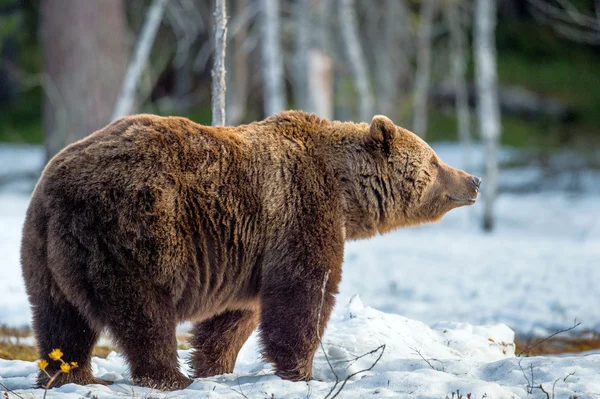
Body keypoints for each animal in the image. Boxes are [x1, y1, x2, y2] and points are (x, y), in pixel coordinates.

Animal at [21, 111, 478, 392]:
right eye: (434, 161)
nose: (473, 179)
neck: (345, 192)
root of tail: (57, 190)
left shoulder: (246, 253)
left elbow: (236, 315)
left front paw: (214, 366)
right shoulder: (302, 213)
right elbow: (304, 295)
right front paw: (303, 372)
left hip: (45, 254)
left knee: (60, 321)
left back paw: (71, 376)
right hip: (132, 232)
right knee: (143, 314)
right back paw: (167, 377)